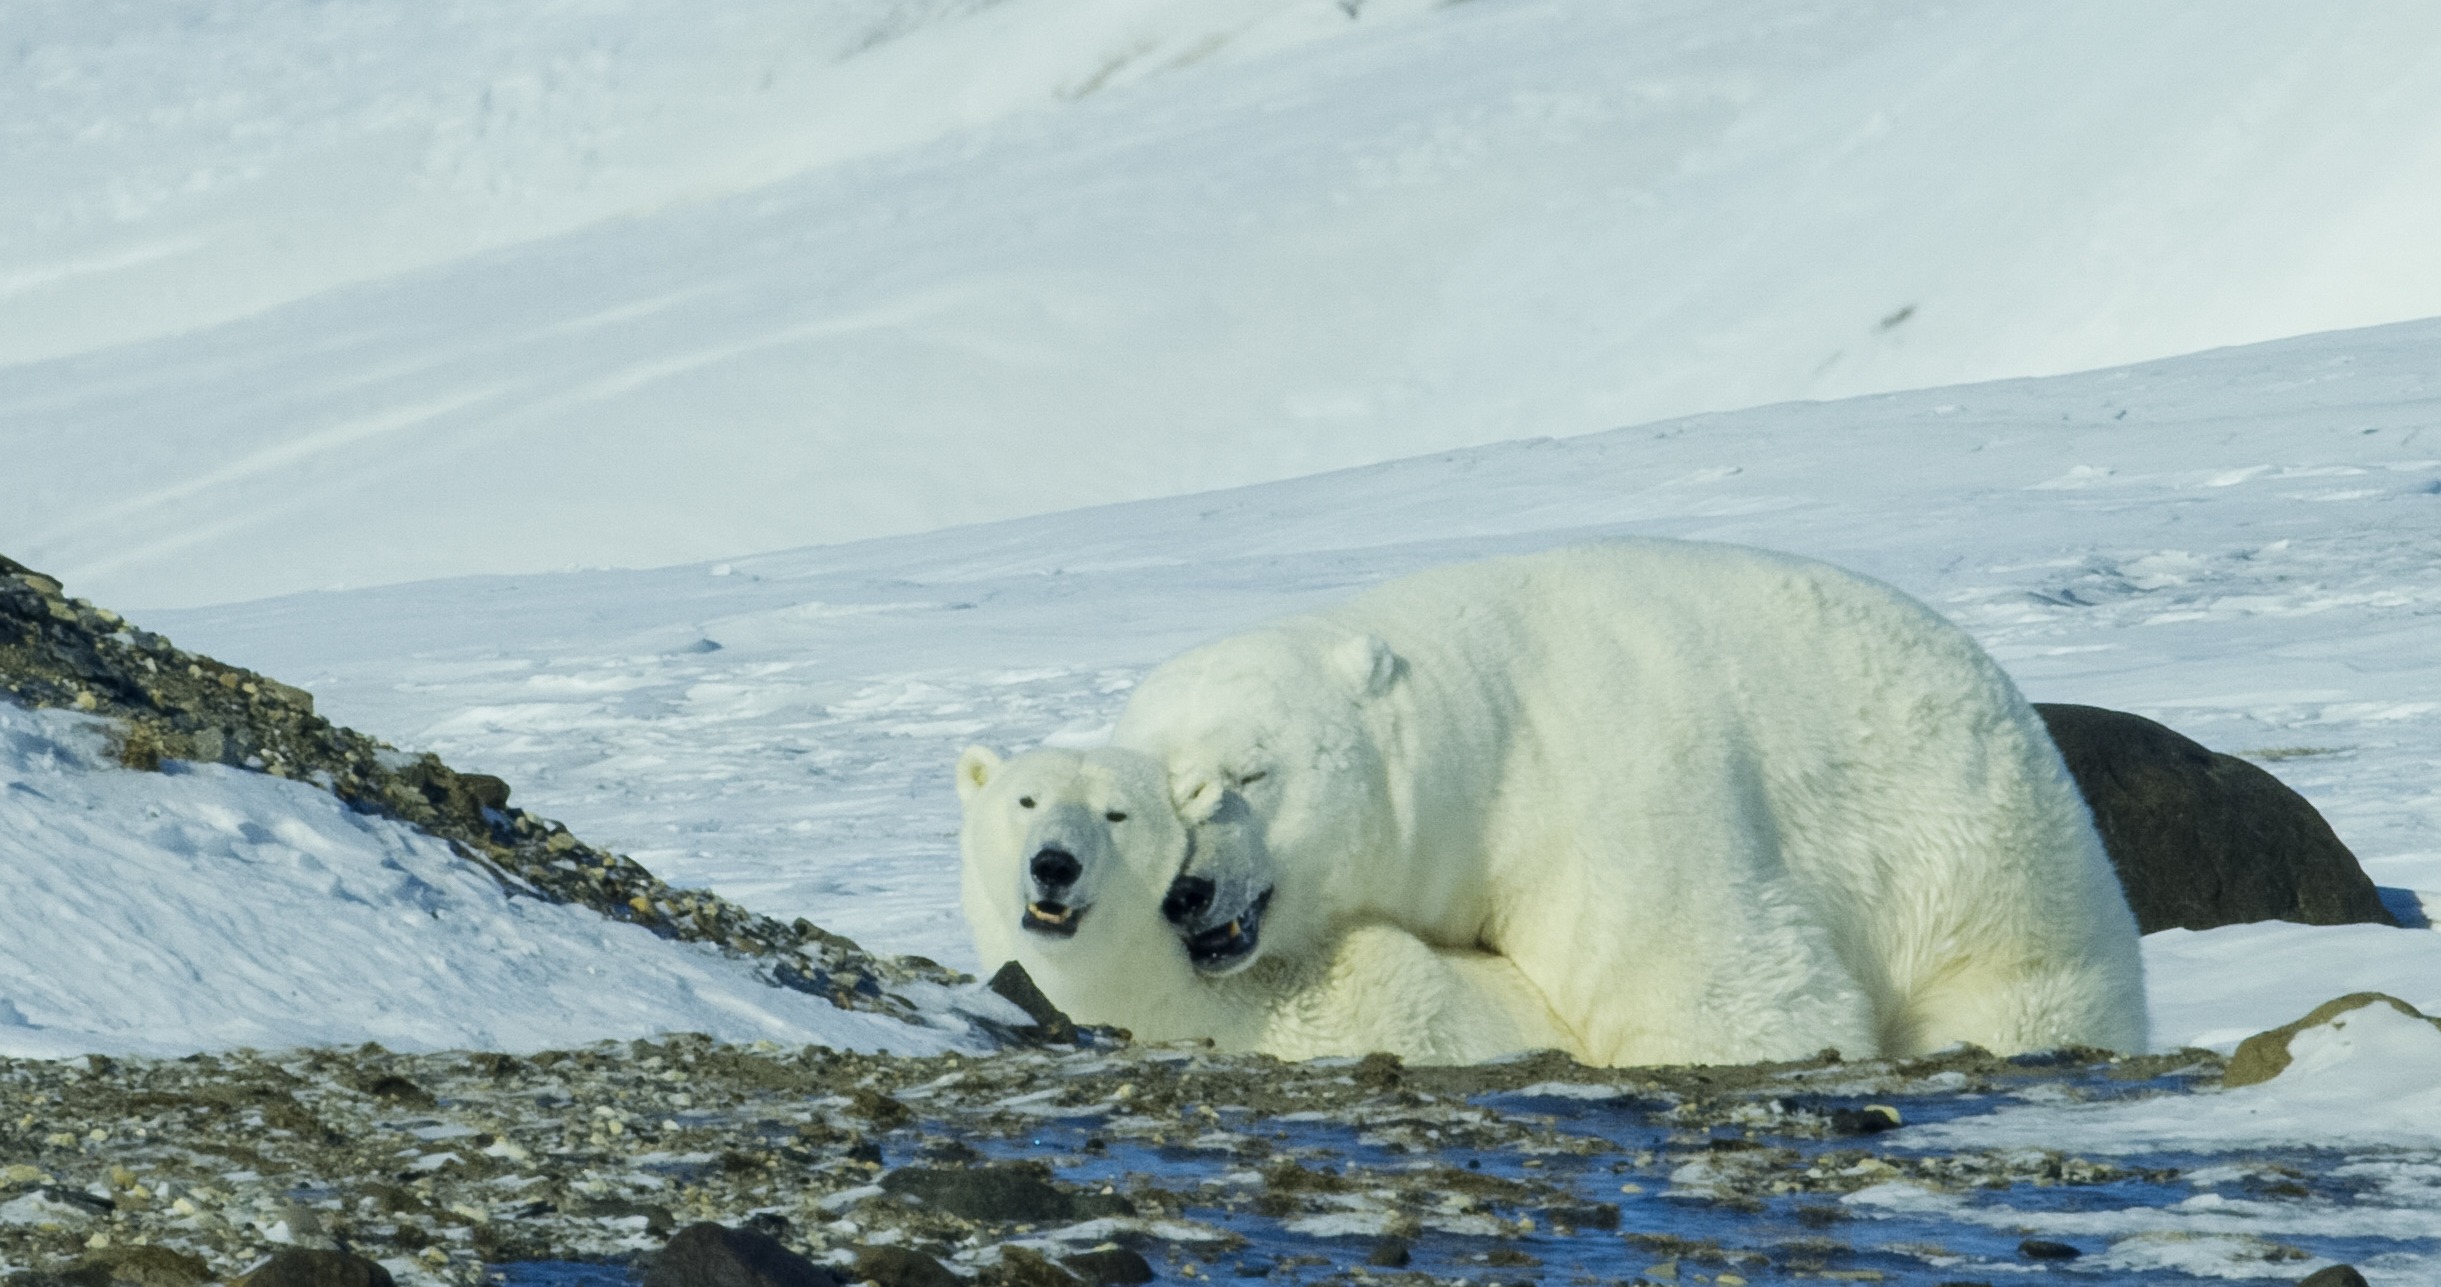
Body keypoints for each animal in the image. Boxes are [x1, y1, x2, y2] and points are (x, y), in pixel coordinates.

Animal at [1117, 537, 2148, 1069]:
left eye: (1247, 776)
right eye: (1151, 800)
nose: (1190, 894)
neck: (1486, 725)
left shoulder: (1606, 795)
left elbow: (1719, 991)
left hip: (1984, 867)